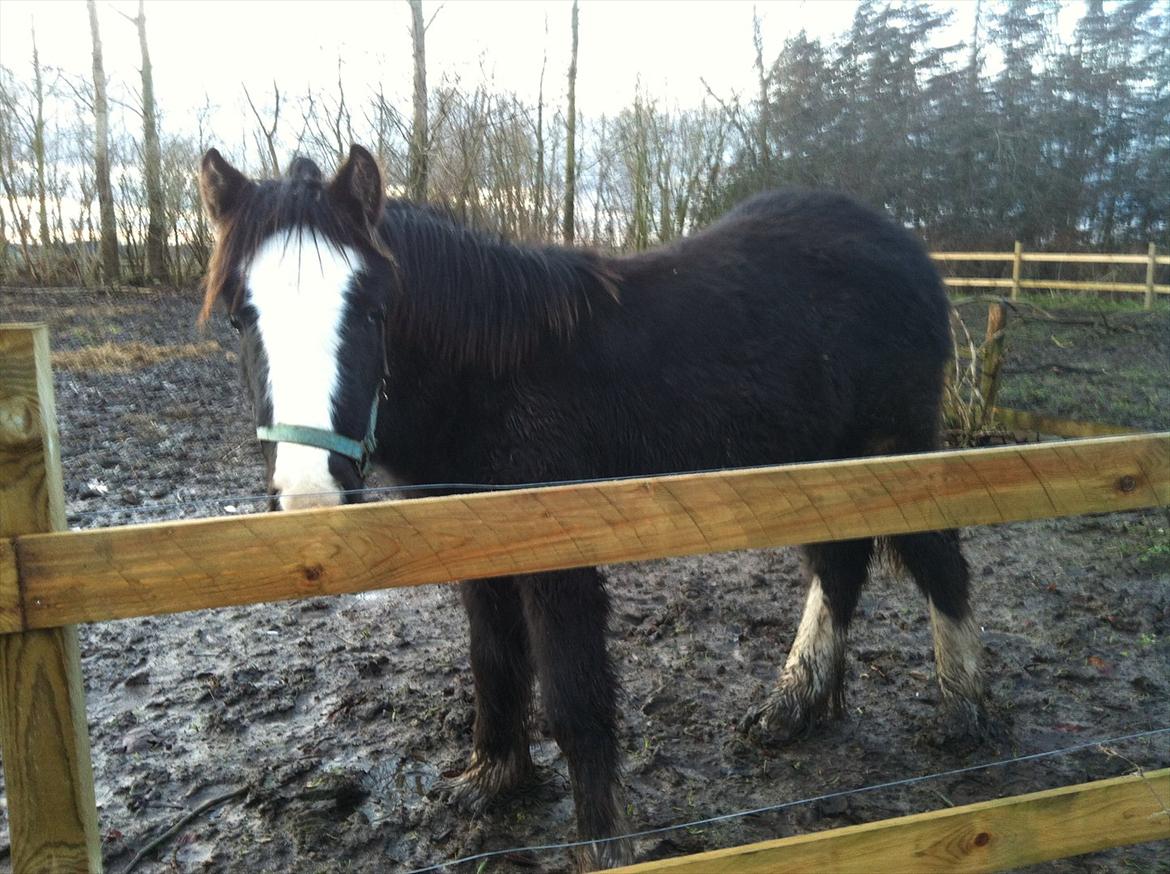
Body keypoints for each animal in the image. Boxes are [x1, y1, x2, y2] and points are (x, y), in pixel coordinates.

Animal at [198, 143, 987, 870]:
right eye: (240, 317)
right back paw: (794, 707)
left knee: (939, 564)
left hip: (896, 449)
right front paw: (494, 780)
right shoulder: (474, 543)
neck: (492, 374)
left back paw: (964, 714)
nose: (311, 493)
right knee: (840, 566)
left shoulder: (561, 556)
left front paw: (604, 845)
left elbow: (575, 698)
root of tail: (909, 252)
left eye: (371, 309)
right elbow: (494, 661)